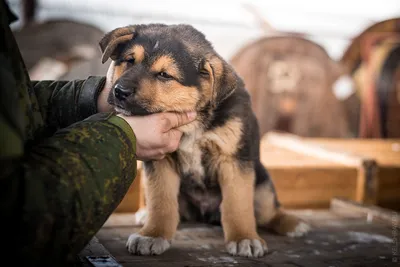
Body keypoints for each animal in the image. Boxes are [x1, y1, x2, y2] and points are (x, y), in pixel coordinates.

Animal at [98, 24, 310, 258]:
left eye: (164, 75)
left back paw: (293, 224)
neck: (193, 124)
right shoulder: (161, 161)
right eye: (129, 60)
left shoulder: (233, 160)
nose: (119, 92)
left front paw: (244, 238)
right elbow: (161, 202)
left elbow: (238, 204)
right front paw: (152, 235)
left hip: (262, 185)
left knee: (268, 212)